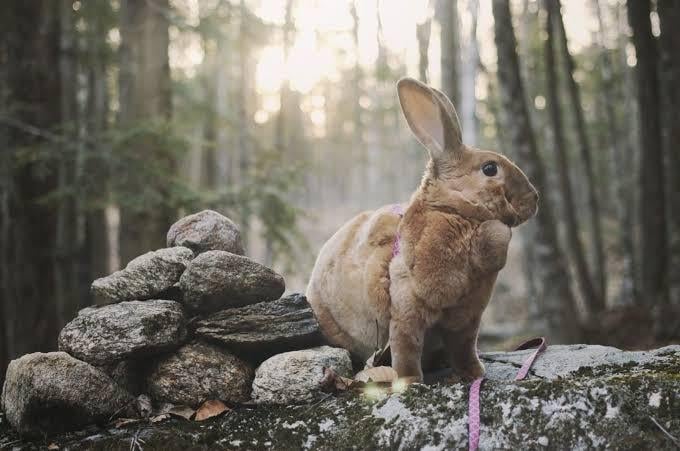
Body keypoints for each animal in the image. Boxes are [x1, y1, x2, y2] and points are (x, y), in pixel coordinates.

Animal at [306, 77, 538, 382]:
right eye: (490, 169)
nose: (535, 199)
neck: (454, 213)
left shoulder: (466, 319)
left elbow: (465, 349)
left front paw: (475, 374)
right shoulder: (407, 311)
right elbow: (407, 349)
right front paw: (411, 381)